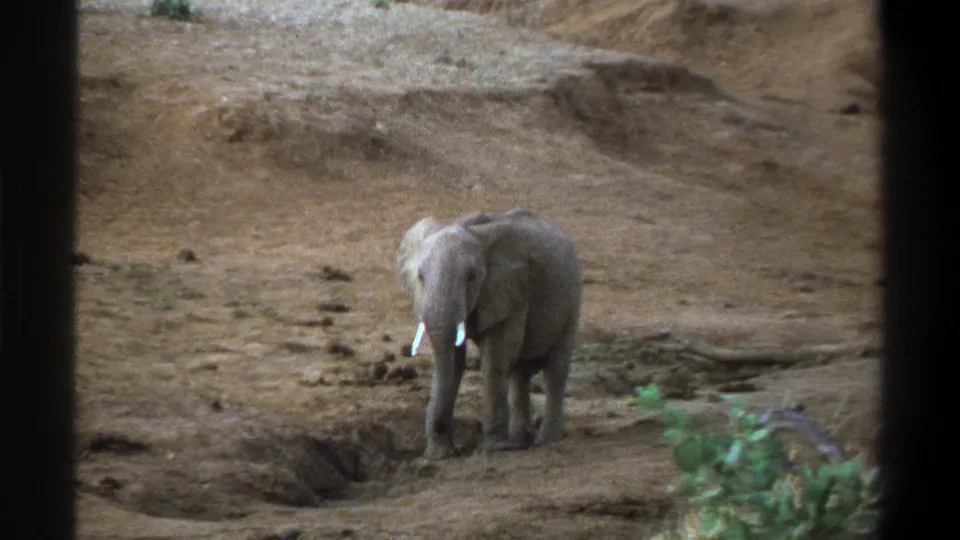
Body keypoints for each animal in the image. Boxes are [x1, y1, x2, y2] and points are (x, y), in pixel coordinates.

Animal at [396, 208, 583, 460]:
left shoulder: (510, 292)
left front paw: (494, 448)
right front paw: (441, 453)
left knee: (555, 370)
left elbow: (496, 358)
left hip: (572, 300)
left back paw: (544, 441)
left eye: (472, 277)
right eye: (420, 277)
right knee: (520, 373)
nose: (451, 451)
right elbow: (455, 360)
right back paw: (520, 441)